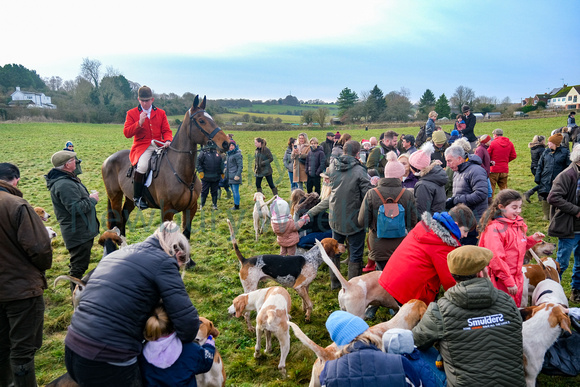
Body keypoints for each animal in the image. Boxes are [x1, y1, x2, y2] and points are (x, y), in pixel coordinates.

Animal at [101, 94, 228, 239]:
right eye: (201, 121)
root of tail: (107, 160)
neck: (182, 173)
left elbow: (186, 235)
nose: (226, 143)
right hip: (115, 197)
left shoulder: (191, 209)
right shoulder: (167, 211)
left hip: (129, 198)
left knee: (123, 217)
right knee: (117, 220)